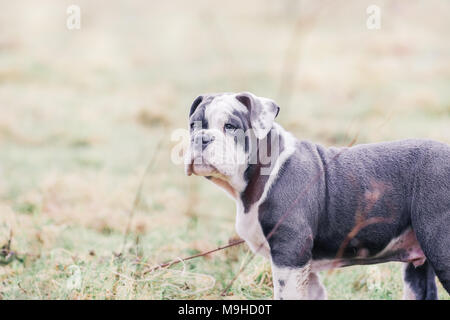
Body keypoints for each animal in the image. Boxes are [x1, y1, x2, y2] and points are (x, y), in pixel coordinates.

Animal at [184, 92, 450, 300]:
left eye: (230, 126)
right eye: (193, 126)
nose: (201, 138)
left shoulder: (289, 254)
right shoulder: (304, 267)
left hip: (441, 245)